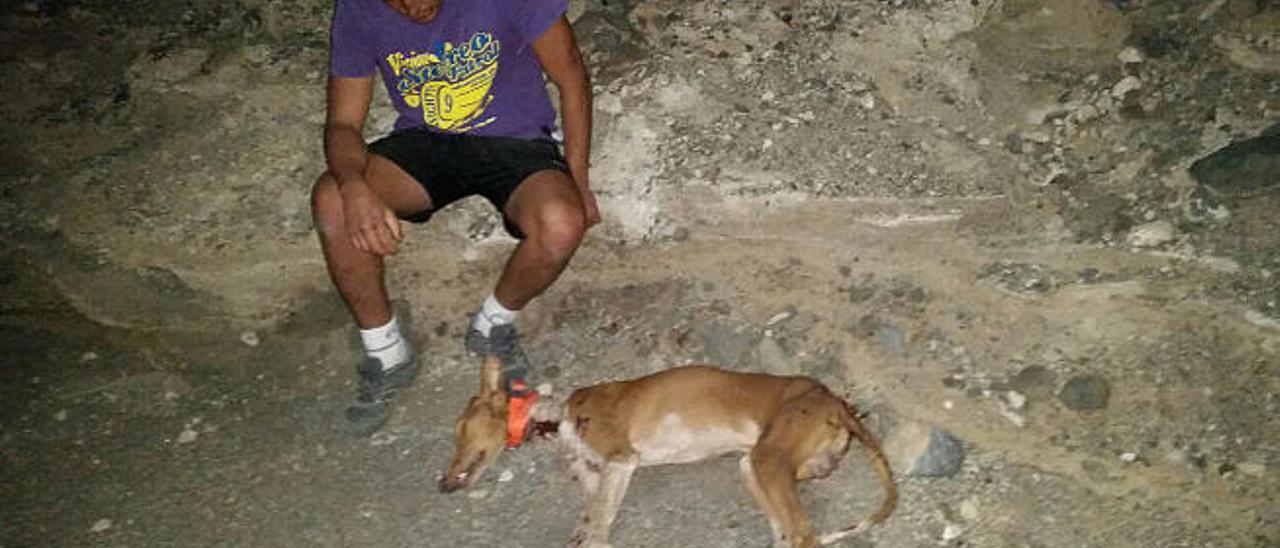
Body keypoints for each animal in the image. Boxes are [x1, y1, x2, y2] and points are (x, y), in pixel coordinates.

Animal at [445, 358, 896, 545]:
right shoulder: (597, 477)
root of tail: (837, 402)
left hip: (767, 461)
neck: (555, 418)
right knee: (788, 534)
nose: (441, 484)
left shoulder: (621, 460)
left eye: (459, 430)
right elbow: (591, 520)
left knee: (804, 535)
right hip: (752, 467)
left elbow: (597, 529)